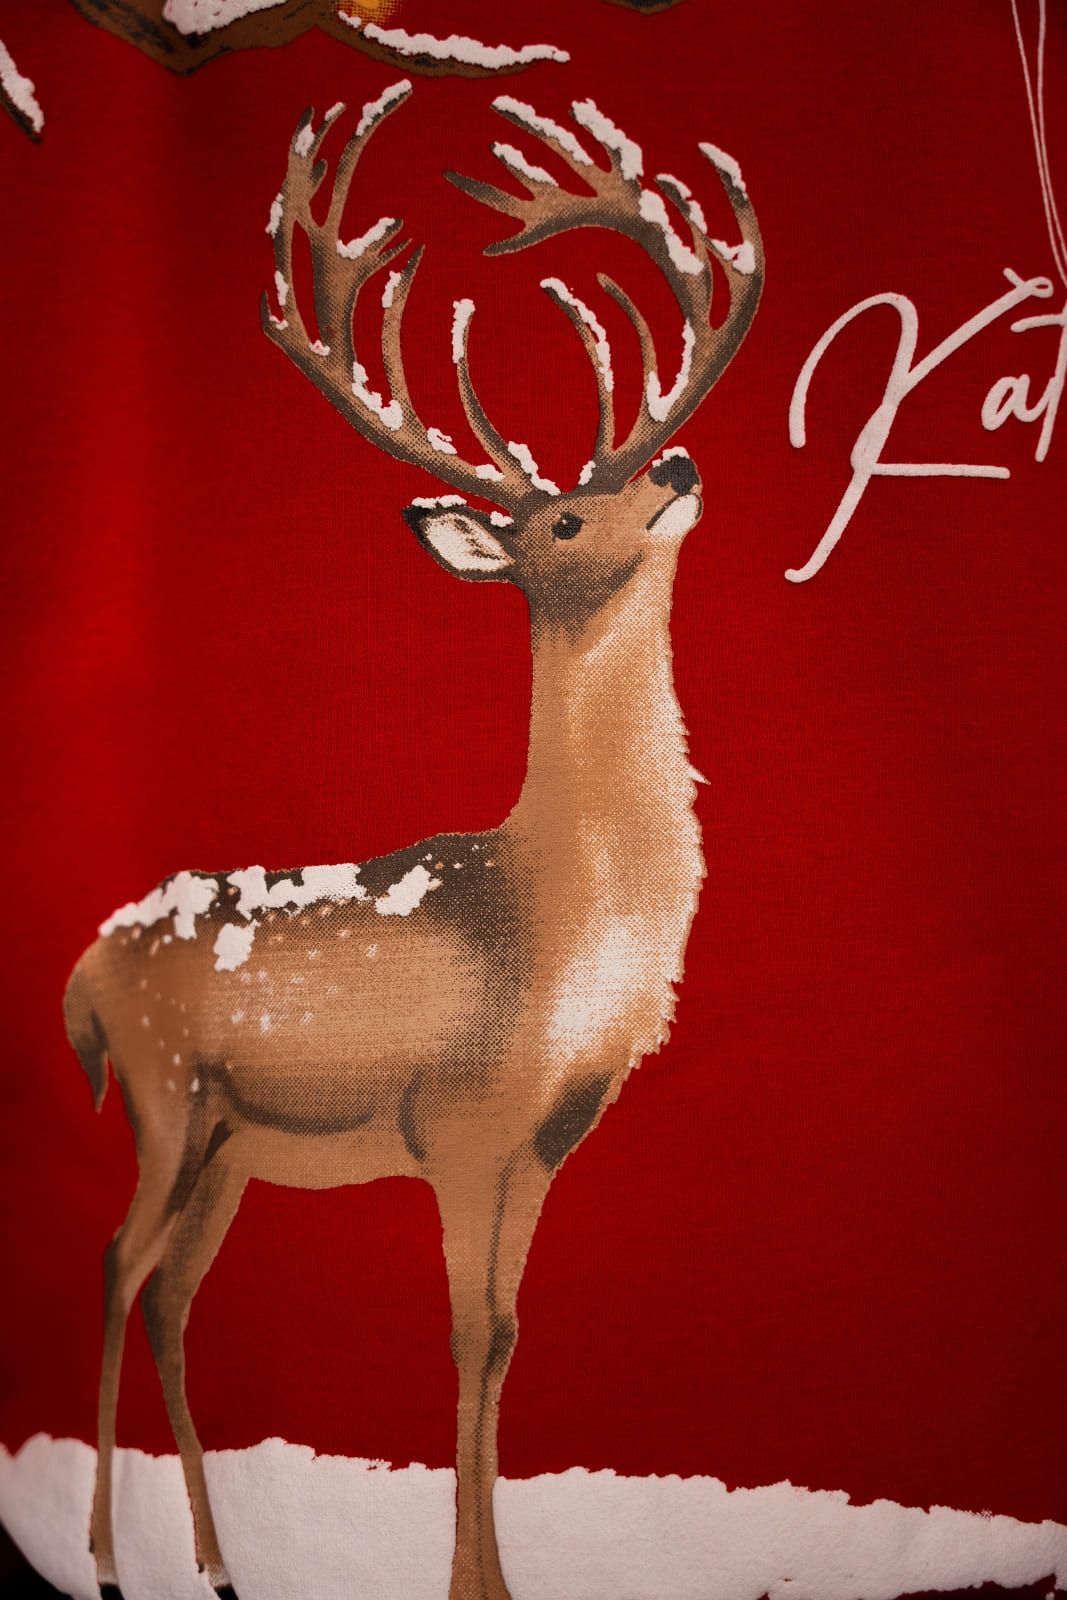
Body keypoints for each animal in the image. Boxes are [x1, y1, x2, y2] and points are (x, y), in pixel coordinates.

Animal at [63, 79, 763, 1600]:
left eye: (623, 473)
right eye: (563, 514)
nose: (679, 461)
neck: (555, 929)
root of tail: (82, 973)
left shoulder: (547, 1139)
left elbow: (502, 1339)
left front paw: (500, 1580)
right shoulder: (460, 1121)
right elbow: (457, 1339)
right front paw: (468, 1587)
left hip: (233, 1143)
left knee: (173, 1296)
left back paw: (219, 1562)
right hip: (162, 1091)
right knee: (114, 1265)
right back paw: (108, 1556)